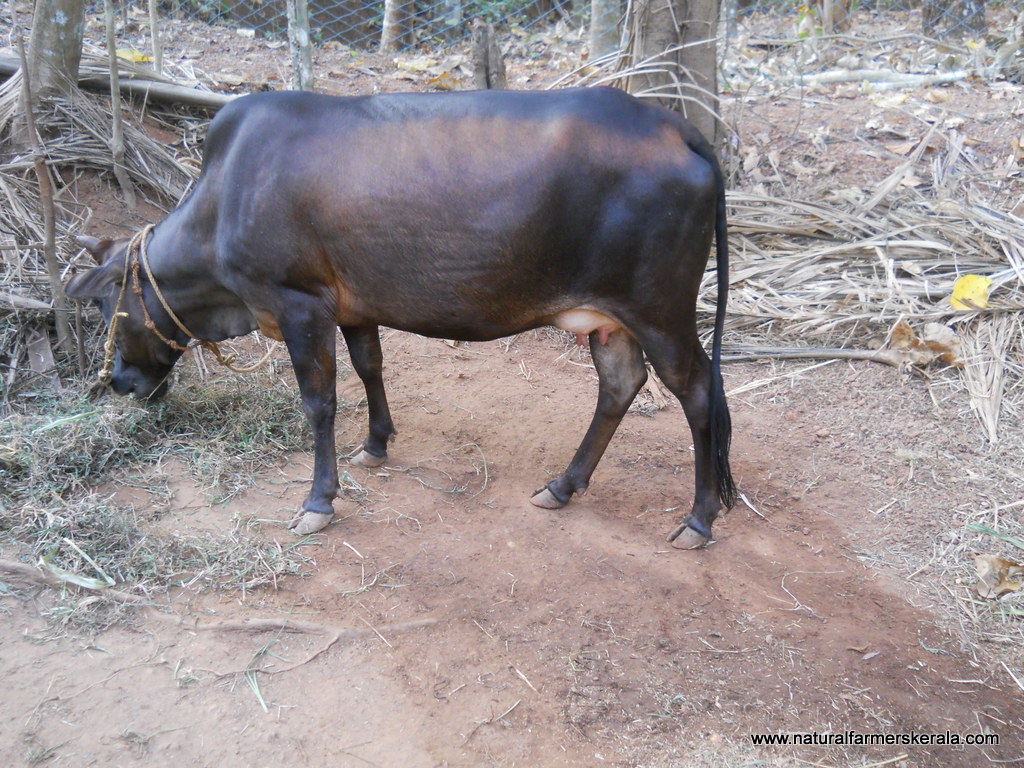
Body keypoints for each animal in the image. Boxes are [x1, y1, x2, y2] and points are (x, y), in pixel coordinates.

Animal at [64, 85, 737, 548]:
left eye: (104, 305)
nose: (119, 381)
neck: (223, 201)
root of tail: (674, 124)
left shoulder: (299, 303)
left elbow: (319, 401)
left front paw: (318, 501)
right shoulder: (352, 304)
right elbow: (369, 366)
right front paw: (376, 444)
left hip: (659, 309)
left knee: (699, 392)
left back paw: (698, 519)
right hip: (609, 318)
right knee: (621, 384)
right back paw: (562, 486)